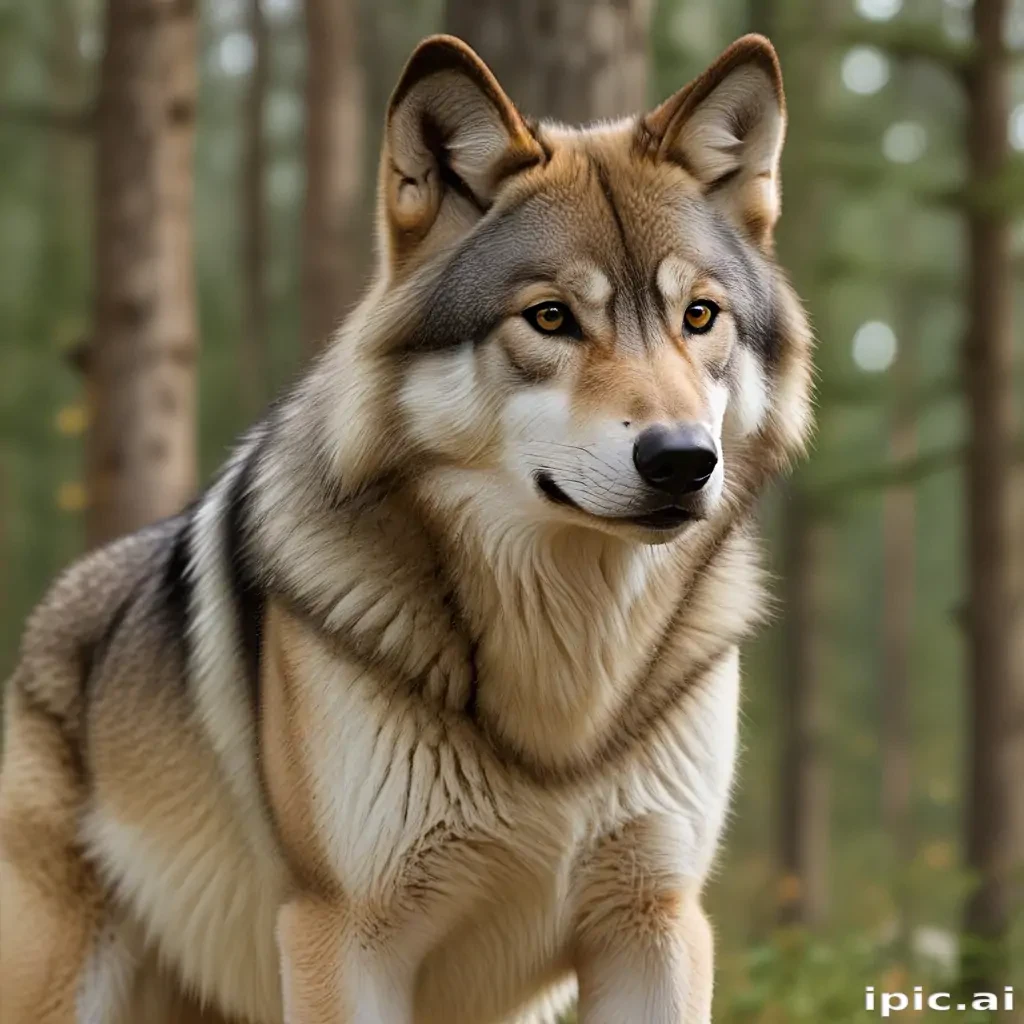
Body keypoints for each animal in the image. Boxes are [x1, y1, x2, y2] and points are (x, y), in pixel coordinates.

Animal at [0, 32, 813, 1024]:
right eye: (550, 317)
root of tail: (53, 610)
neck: (563, 688)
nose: (682, 460)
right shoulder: (345, 936)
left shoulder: (655, 925)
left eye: (699, 316)